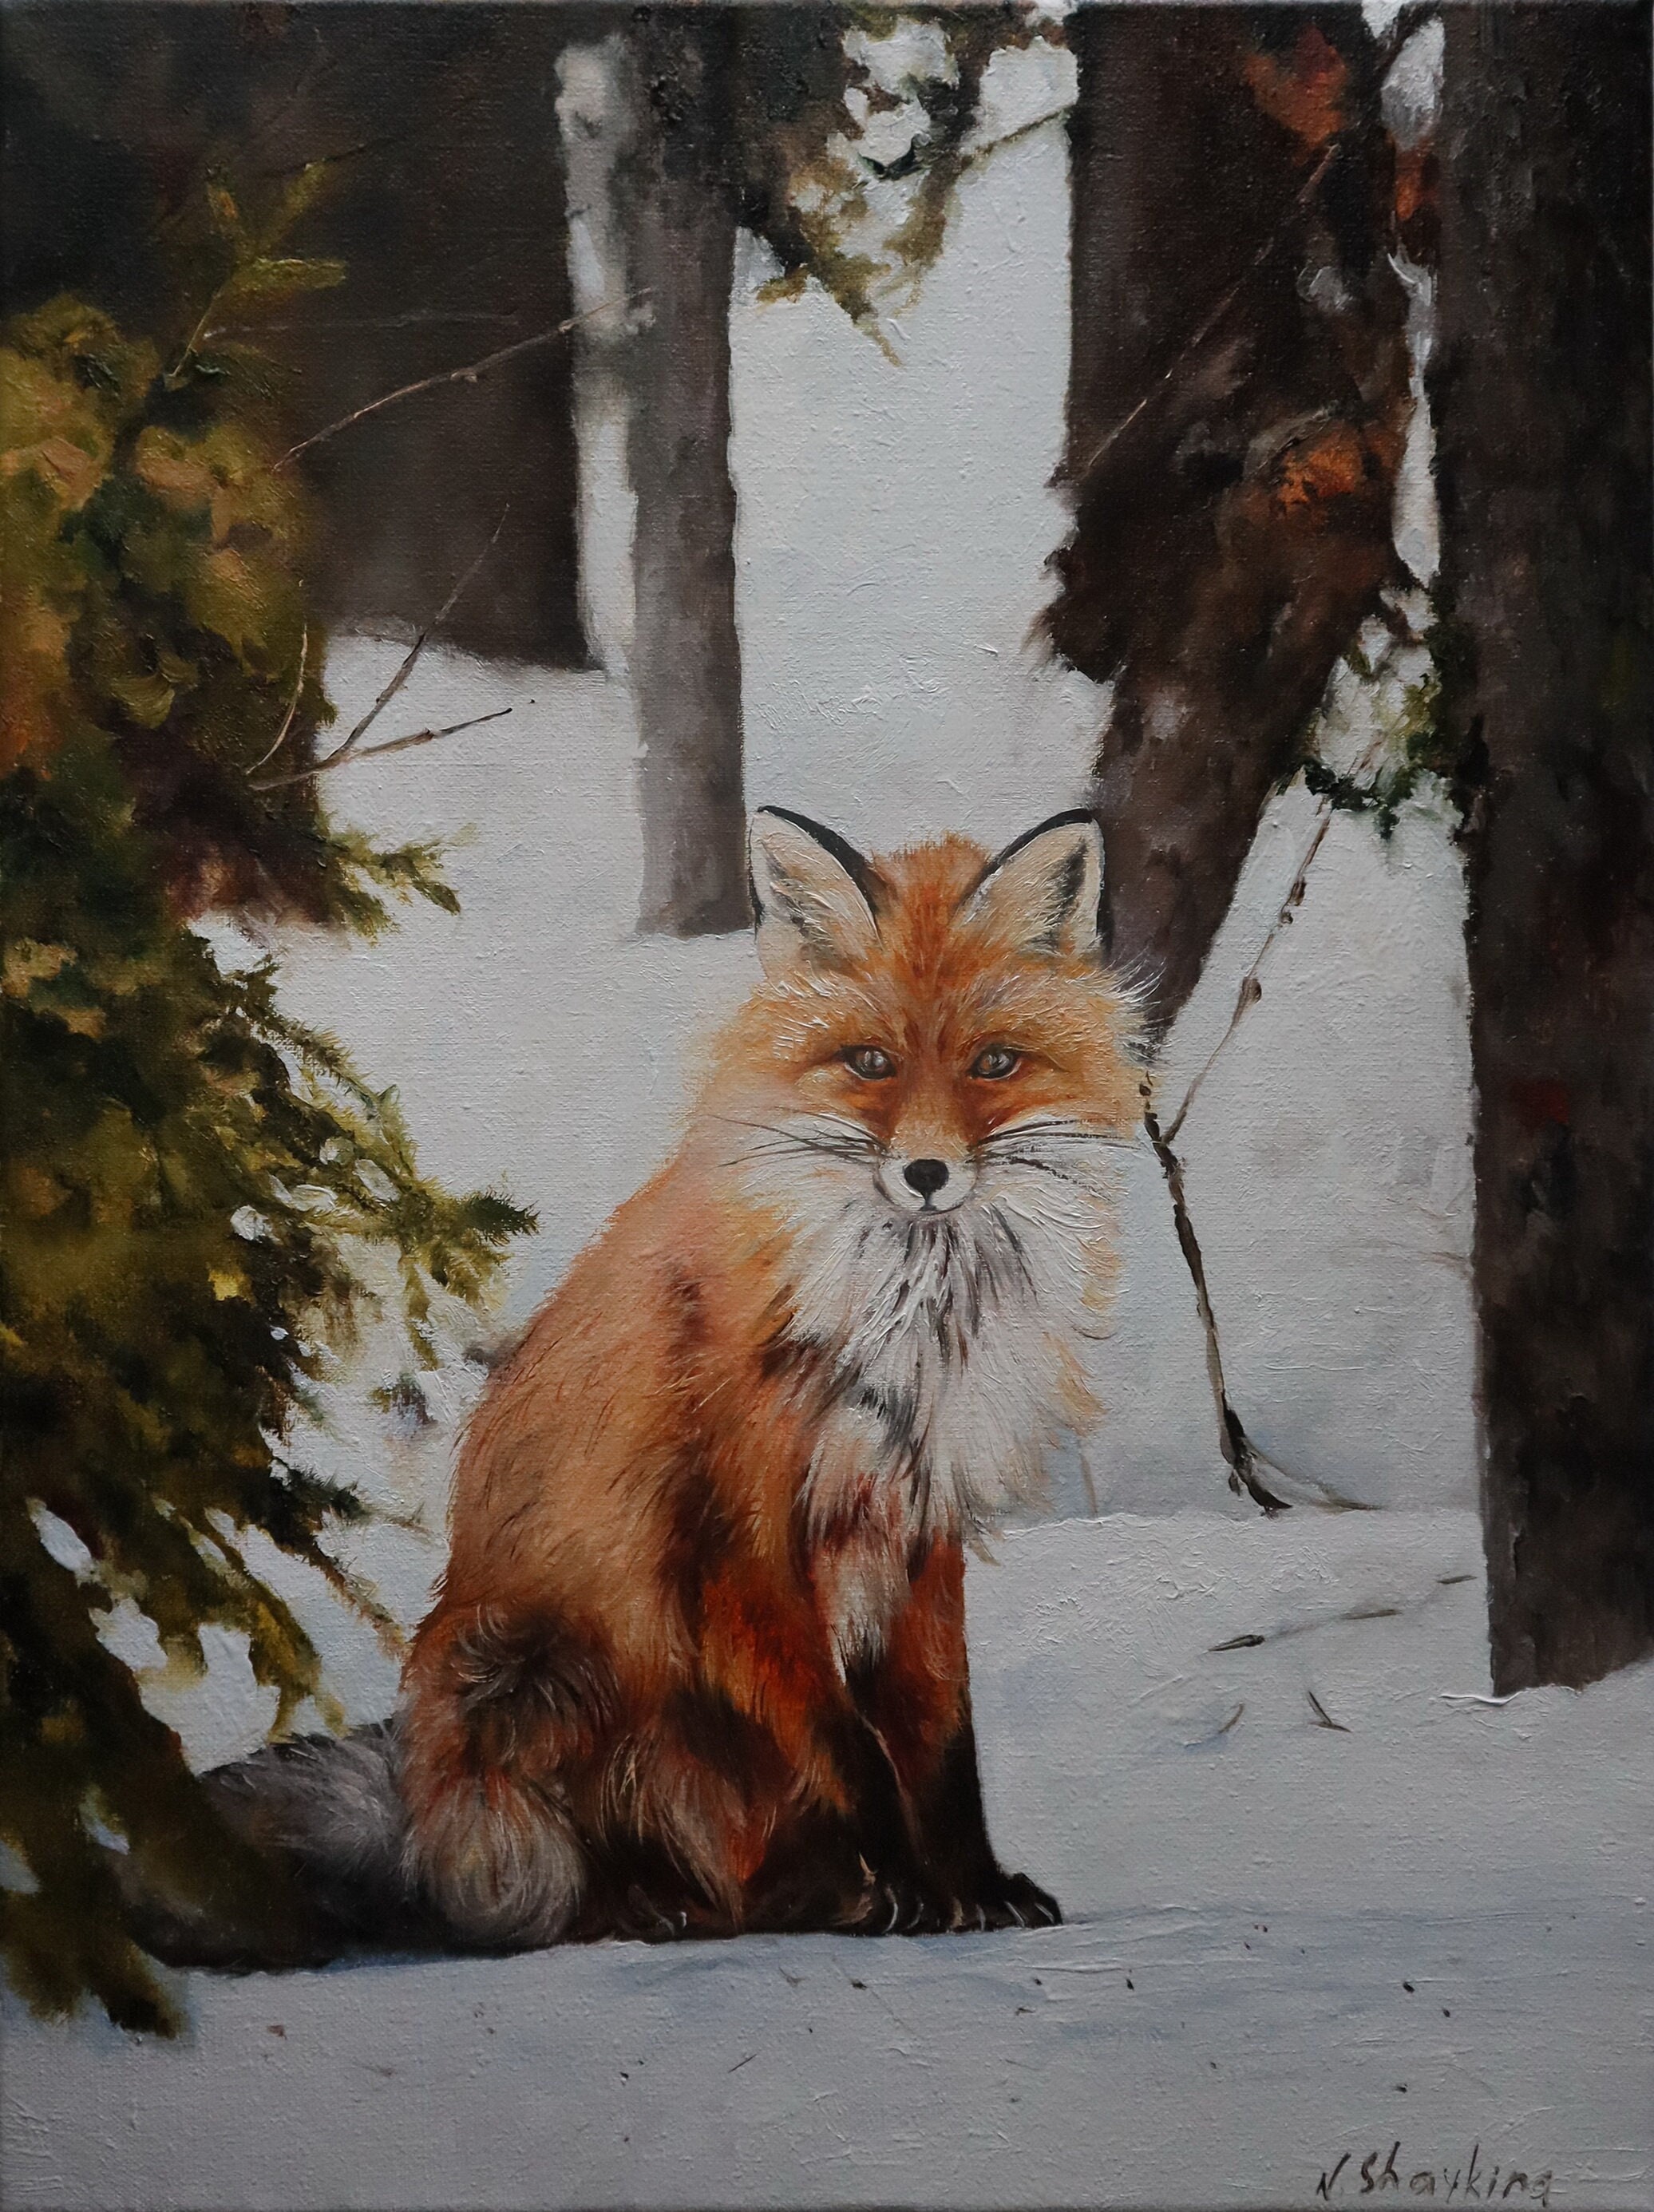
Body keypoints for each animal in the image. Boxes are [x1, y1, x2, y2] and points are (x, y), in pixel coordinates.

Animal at [131, 808, 1142, 1965]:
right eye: (869, 1061)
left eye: (994, 1063)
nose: (926, 1174)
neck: (901, 1318)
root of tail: (418, 1813)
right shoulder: (744, 1542)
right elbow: (854, 1751)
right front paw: (910, 1884)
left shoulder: (916, 1529)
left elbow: (941, 1749)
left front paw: (969, 1883)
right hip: (528, 1669)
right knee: (562, 1895)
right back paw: (669, 1903)